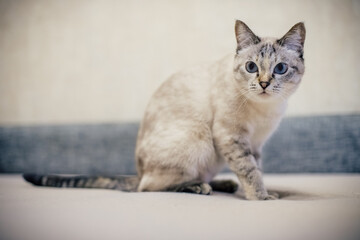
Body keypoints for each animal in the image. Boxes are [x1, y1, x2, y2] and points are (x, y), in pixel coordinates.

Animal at [23, 19, 304, 201]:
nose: (264, 84)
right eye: (251, 67)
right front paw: (261, 197)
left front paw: (262, 192)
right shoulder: (232, 137)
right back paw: (200, 187)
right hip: (199, 138)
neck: (265, 110)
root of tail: (137, 173)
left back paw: (223, 184)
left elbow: (257, 170)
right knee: (149, 187)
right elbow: (250, 171)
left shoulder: (255, 144)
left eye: (280, 69)